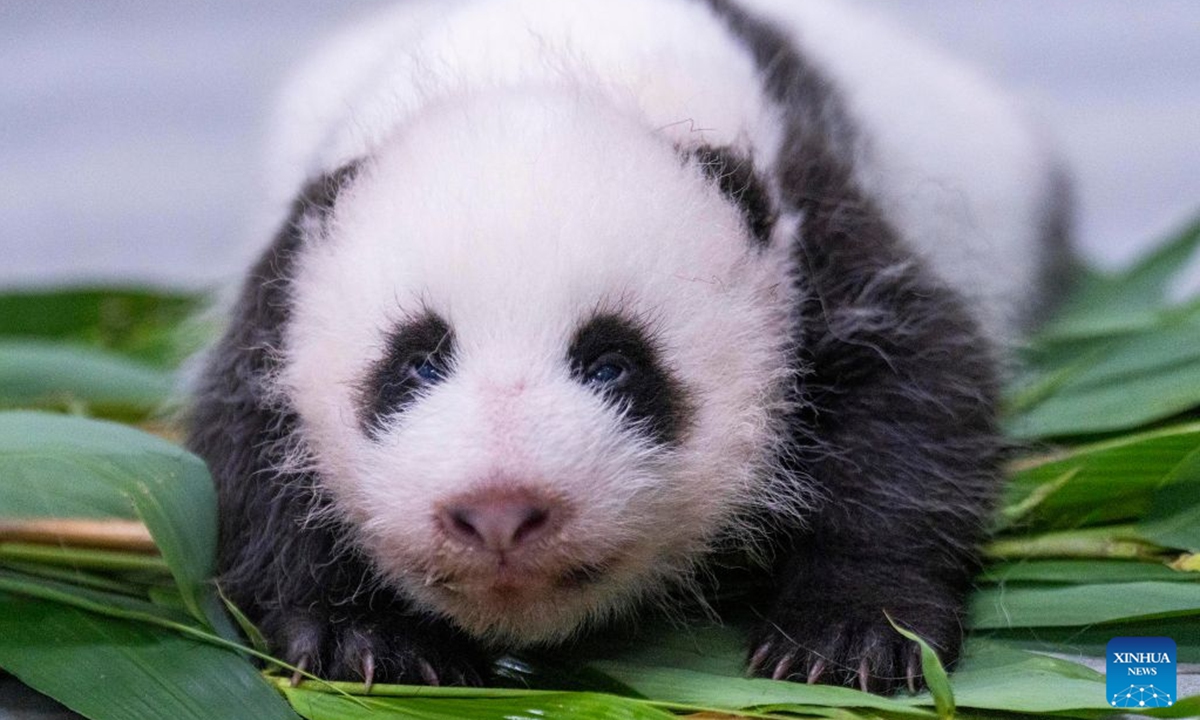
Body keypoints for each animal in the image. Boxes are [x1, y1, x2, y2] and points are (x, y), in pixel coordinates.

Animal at [187, 0, 1071, 695]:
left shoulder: (812, 230)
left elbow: (909, 396)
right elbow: (248, 446)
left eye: (613, 363)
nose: (500, 512)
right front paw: (363, 637)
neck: (550, 64)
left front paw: (852, 635)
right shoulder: (288, 272)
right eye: (418, 363)